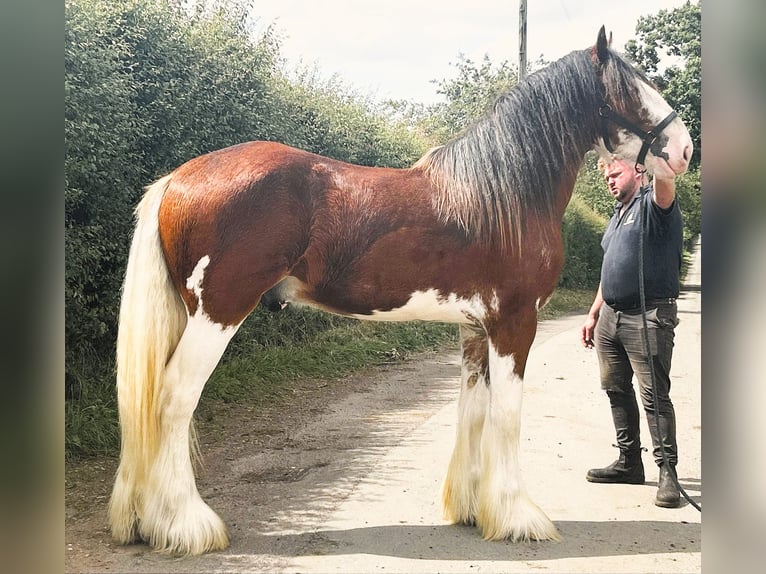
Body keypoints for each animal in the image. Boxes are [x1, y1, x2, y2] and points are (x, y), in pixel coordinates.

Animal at [106, 28, 696, 560]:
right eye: (631, 90)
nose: (685, 149)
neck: (502, 196)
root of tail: (178, 178)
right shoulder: (514, 323)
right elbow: (506, 415)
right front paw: (518, 518)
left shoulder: (475, 328)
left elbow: (473, 410)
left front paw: (473, 509)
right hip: (217, 314)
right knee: (174, 400)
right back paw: (186, 526)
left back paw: (143, 521)